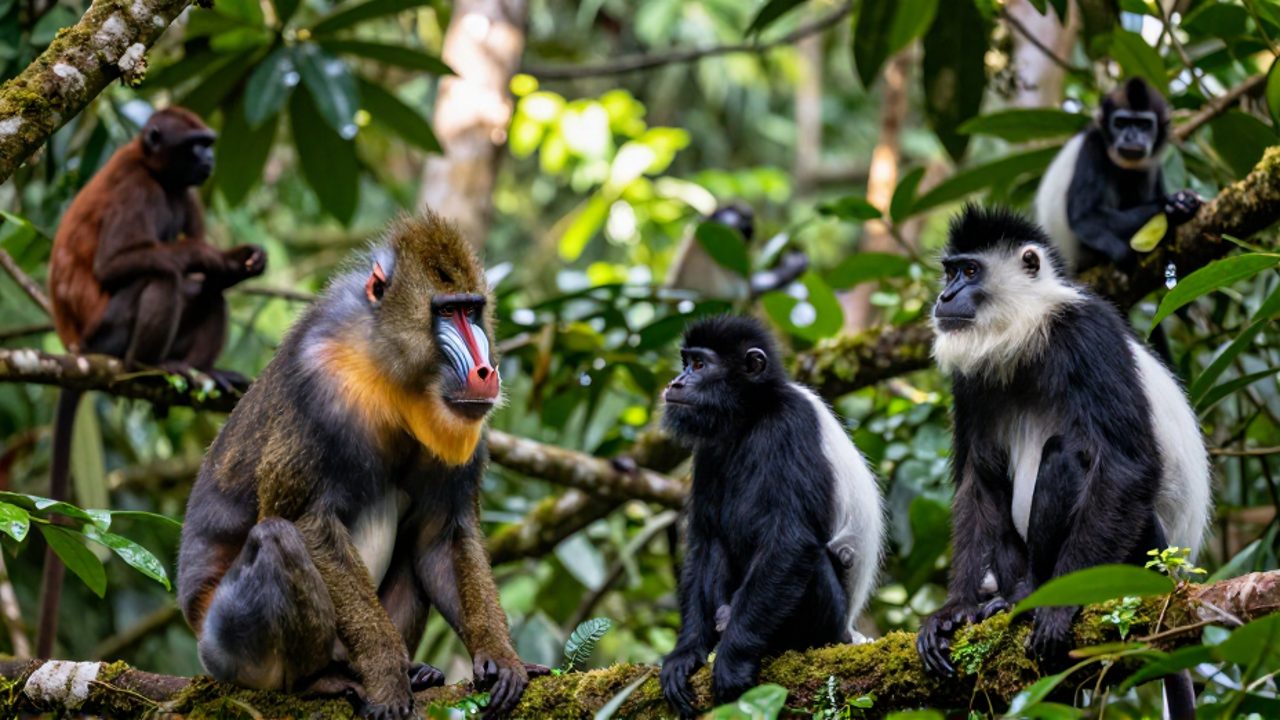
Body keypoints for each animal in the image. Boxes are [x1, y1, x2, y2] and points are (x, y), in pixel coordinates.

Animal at [36, 107, 265, 658]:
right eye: (195, 144)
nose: (208, 159)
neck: (156, 172)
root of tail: (77, 346)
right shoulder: (136, 188)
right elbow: (116, 263)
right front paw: (214, 255)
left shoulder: (186, 192)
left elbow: (211, 282)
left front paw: (235, 264)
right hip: (107, 332)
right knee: (161, 277)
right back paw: (151, 362)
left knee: (204, 293)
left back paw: (197, 369)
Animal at [177, 213, 536, 720]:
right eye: (446, 313)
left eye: (472, 310)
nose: (485, 372)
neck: (390, 372)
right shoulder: (322, 391)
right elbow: (309, 522)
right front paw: (386, 680)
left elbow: (440, 535)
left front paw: (501, 658)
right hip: (229, 645)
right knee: (278, 538)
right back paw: (320, 681)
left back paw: (414, 672)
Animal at [658, 315, 884, 717]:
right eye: (685, 363)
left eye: (699, 365)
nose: (676, 383)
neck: (751, 417)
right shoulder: (710, 450)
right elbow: (703, 541)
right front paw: (685, 653)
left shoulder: (791, 422)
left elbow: (791, 540)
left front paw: (732, 660)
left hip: (826, 620)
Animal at [915, 206, 1210, 719]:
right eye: (949, 272)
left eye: (970, 272)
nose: (945, 297)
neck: (1028, 330)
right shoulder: (970, 380)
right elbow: (977, 481)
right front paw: (955, 610)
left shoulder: (1085, 334)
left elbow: (1125, 464)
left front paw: (1057, 608)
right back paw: (1007, 599)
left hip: (1142, 553)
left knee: (1070, 454)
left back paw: (1033, 597)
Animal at [1035, 78, 1201, 275]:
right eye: (1120, 123)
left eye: (1144, 125)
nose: (1131, 137)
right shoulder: (1092, 147)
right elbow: (1084, 218)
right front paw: (1174, 204)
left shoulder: (1154, 163)